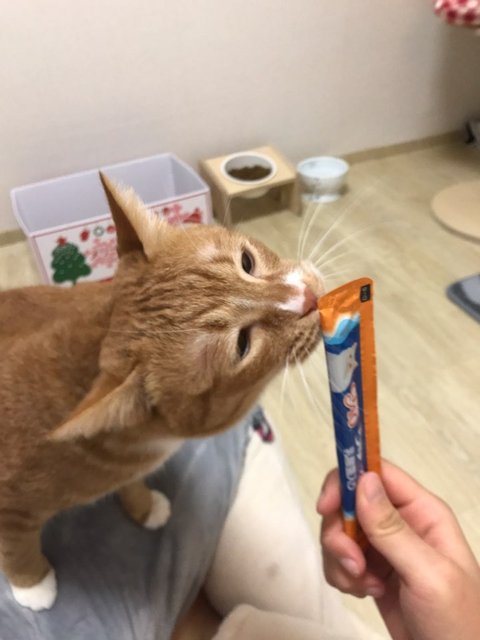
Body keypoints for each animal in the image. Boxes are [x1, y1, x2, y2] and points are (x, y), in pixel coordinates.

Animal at [0, 173, 323, 611]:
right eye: (242, 345)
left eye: (247, 262)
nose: (309, 297)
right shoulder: (10, 507)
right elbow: (16, 546)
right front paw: (32, 586)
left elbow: (132, 485)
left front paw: (144, 505)